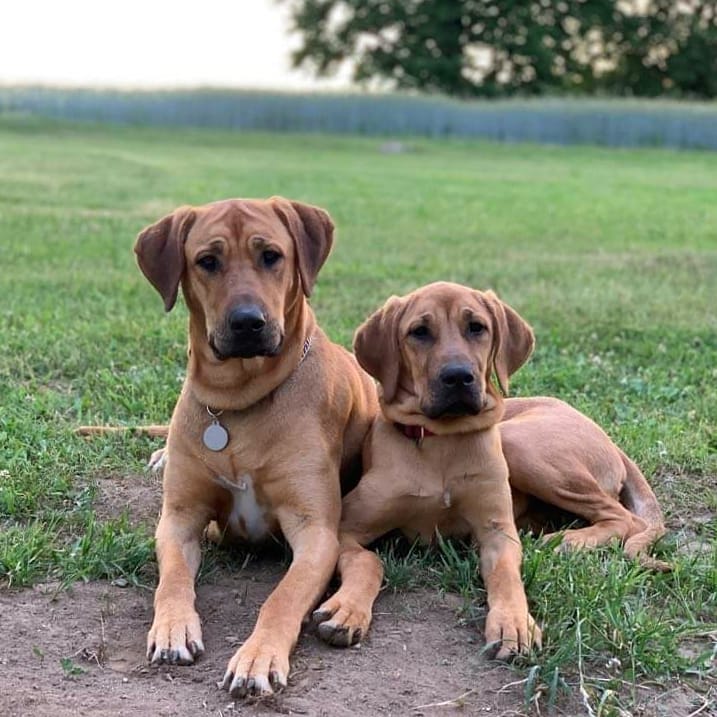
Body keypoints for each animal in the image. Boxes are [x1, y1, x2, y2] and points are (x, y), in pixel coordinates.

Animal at [312, 280, 664, 656]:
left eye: (476, 327)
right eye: (419, 332)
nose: (458, 377)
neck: (442, 443)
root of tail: (610, 440)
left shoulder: (497, 532)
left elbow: (506, 574)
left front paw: (514, 622)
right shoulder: (345, 529)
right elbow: (368, 561)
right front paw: (347, 611)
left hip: (520, 445)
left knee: (625, 518)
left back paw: (567, 540)